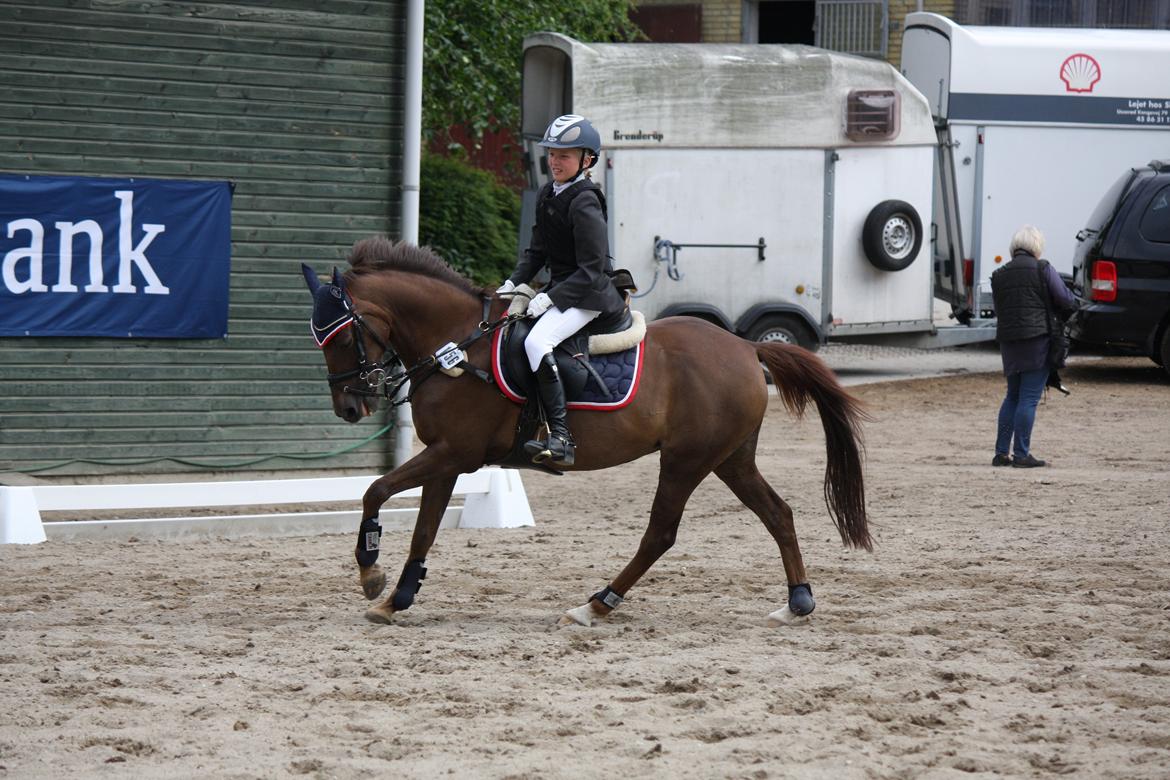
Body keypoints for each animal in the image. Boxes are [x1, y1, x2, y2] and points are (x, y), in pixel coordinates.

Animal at [303, 236, 871, 627]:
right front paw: (395, 599)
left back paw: (594, 606)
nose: (348, 407)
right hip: (730, 457)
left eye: (343, 336)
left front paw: (370, 572)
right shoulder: (445, 457)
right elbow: (423, 527)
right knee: (778, 513)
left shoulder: (454, 453)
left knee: (661, 532)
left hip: (687, 459)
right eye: (319, 337)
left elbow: (376, 490)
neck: (458, 346)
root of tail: (746, 347)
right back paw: (798, 602)